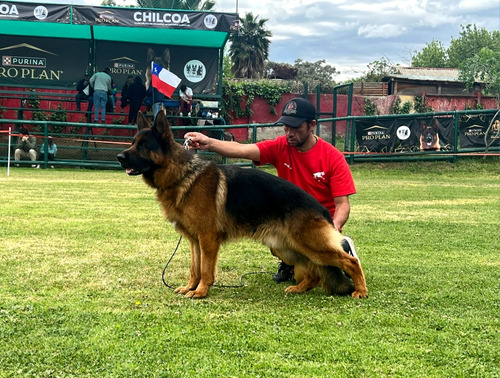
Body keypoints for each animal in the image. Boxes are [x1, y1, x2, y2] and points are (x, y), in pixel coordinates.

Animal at [116, 110, 368, 300]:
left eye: (144, 145)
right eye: (133, 142)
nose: (119, 157)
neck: (181, 174)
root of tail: (322, 210)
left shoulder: (207, 239)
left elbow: (205, 269)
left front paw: (201, 291)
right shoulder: (194, 241)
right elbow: (194, 268)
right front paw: (190, 287)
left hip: (311, 244)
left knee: (351, 261)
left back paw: (361, 291)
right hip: (288, 247)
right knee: (315, 272)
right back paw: (299, 288)